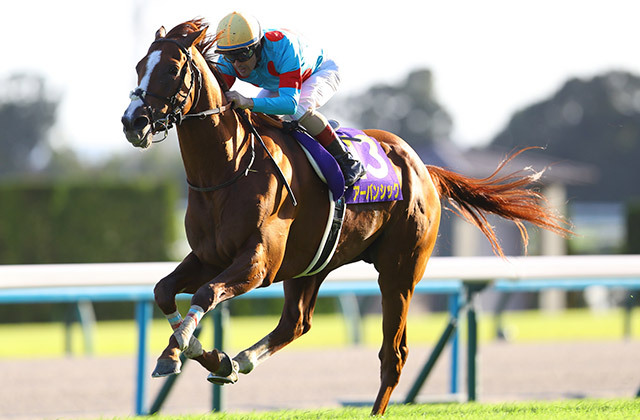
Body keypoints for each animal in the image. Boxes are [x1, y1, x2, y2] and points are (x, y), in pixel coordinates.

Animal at [121, 19, 570, 416]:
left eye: (172, 69)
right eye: (140, 66)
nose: (132, 122)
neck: (228, 169)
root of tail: (423, 168)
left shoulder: (259, 263)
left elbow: (205, 293)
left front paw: (180, 353)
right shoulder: (209, 256)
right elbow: (164, 290)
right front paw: (203, 355)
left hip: (399, 271)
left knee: (394, 353)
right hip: (312, 264)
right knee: (296, 323)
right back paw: (240, 360)